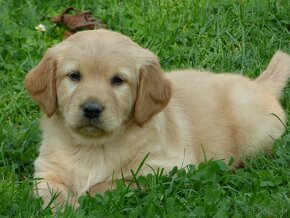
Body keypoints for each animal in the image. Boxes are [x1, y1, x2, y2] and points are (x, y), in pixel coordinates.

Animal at [25, 29, 290, 208]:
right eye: (74, 76)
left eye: (118, 80)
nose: (91, 109)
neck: (93, 147)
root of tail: (260, 85)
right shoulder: (47, 171)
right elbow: (52, 194)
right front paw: (64, 207)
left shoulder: (168, 169)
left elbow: (110, 183)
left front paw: (85, 197)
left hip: (253, 133)